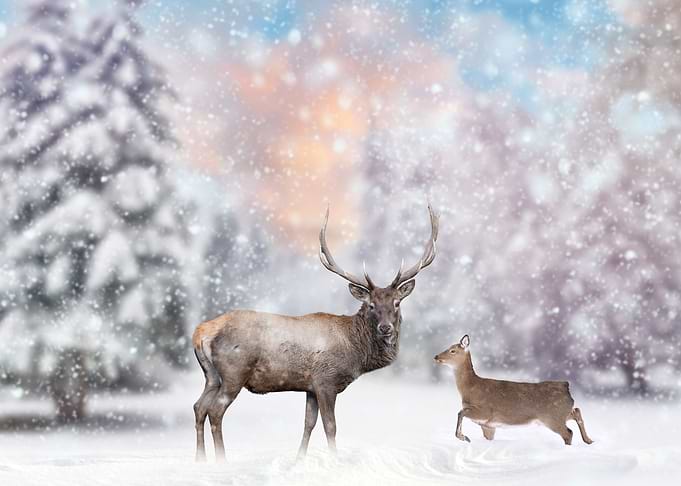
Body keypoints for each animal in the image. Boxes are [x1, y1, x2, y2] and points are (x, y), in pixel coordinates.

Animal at [192, 205, 439, 462]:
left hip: (211, 376)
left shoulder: (309, 387)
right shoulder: (325, 380)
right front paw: (335, 458)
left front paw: (299, 458)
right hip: (234, 372)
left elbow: (308, 423)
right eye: (371, 305)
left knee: (199, 407)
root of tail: (202, 332)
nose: (385, 327)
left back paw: (200, 458)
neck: (355, 352)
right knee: (215, 411)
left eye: (397, 303)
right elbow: (330, 426)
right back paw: (221, 459)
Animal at [434, 335, 594, 446]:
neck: (470, 388)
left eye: (453, 350)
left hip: (552, 417)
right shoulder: (488, 425)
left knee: (568, 432)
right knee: (576, 411)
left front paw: (464, 437)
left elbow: (460, 412)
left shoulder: (486, 411)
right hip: (560, 414)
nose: (436, 356)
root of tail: (565, 386)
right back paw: (589, 440)